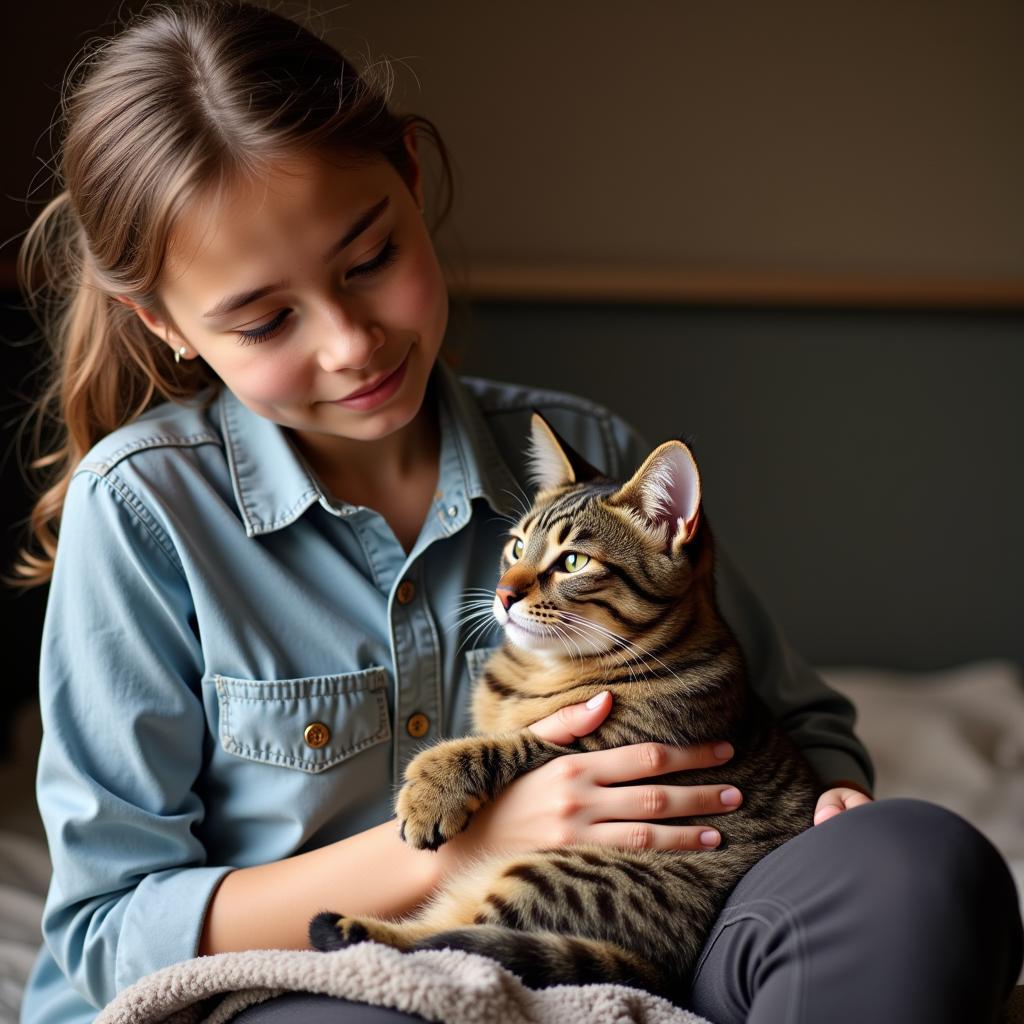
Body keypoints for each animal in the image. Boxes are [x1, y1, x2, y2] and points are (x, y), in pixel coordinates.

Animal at [307, 411, 819, 1003]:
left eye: (572, 561)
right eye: (515, 547)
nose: (503, 594)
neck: (544, 669)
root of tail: (668, 972)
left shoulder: (608, 743)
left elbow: (509, 744)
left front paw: (429, 790)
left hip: (567, 873)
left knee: (456, 944)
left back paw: (352, 930)